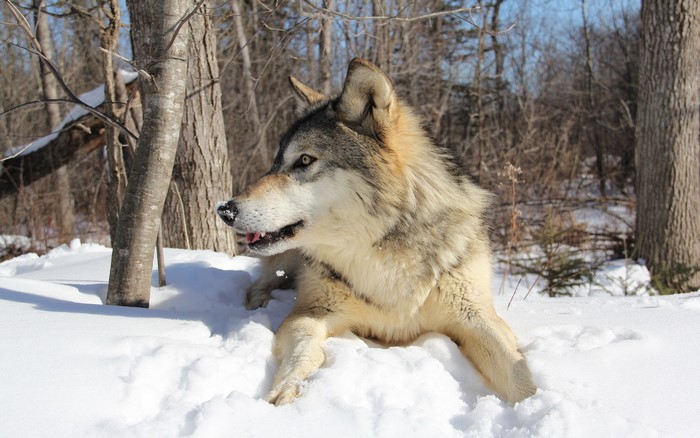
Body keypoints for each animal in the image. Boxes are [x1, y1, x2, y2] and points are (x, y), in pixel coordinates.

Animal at [217, 58, 536, 405]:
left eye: (304, 160)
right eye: (276, 163)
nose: (225, 210)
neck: (382, 250)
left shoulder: (478, 316)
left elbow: (518, 372)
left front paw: (533, 405)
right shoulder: (311, 311)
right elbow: (304, 352)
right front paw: (286, 390)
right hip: (286, 260)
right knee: (259, 283)